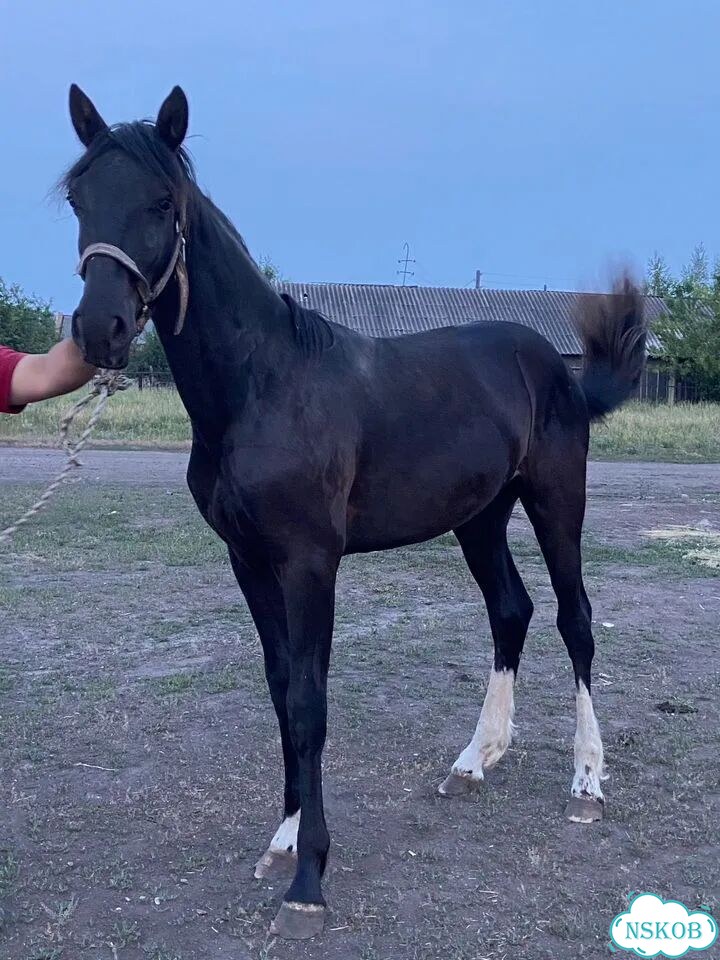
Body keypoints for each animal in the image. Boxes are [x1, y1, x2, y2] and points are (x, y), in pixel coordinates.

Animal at [61, 84, 647, 940]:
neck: (263, 383)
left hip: (554, 500)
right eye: (78, 199)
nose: (98, 329)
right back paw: (474, 761)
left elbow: (310, 699)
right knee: (512, 610)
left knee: (575, 619)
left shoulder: (311, 563)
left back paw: (586, 785)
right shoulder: (249, 561)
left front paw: (309, 876)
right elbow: (280, 689)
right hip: (479, 518)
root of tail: (552, 365)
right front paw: (282, 840)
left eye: (162, 203)